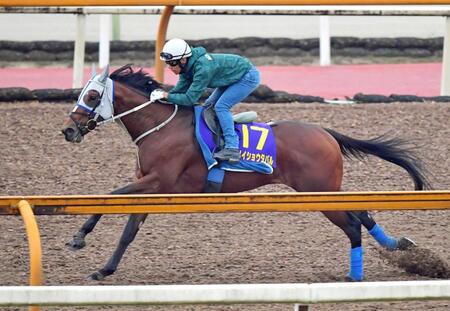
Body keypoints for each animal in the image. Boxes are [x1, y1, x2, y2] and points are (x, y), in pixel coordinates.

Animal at [59, 65, 428, 282]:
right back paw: (398, 246)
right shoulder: (153, 188)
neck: (159, 127)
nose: (68, 130)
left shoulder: (157, 181)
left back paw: (355, 276)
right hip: (328, 188)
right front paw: (105, 268)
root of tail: (325, 132)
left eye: (92, 95)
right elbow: (129, 230)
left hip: (319, 190)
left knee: (352, 224)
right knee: (363, 212)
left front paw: (79, 237)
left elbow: (110, 195)